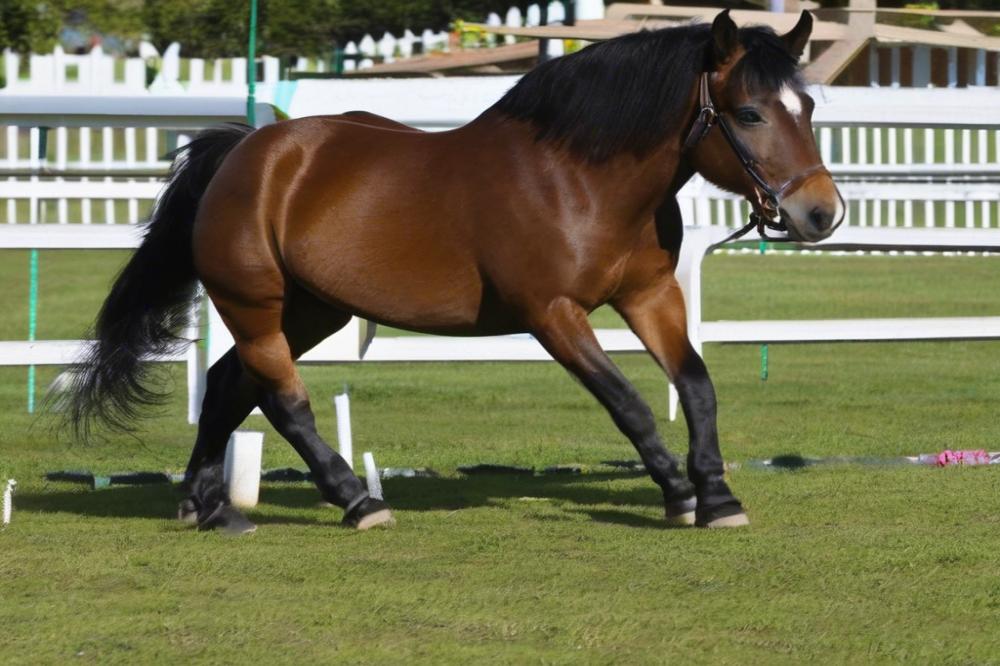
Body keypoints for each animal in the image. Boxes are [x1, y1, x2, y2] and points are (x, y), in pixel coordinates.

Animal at [66, 10, 844, 536]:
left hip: (313, 310)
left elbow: (697, 387)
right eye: (749, 113)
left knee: (232, 383)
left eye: (806, 106)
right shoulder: (551, 314)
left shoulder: (650, 296)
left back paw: (208, 507)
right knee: (284, 401)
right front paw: (680, 496)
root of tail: (245, 151)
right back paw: (357, 501)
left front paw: (717, 497)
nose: (820, 213)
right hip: (255, 306)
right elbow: (627, 402)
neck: (580, 179)